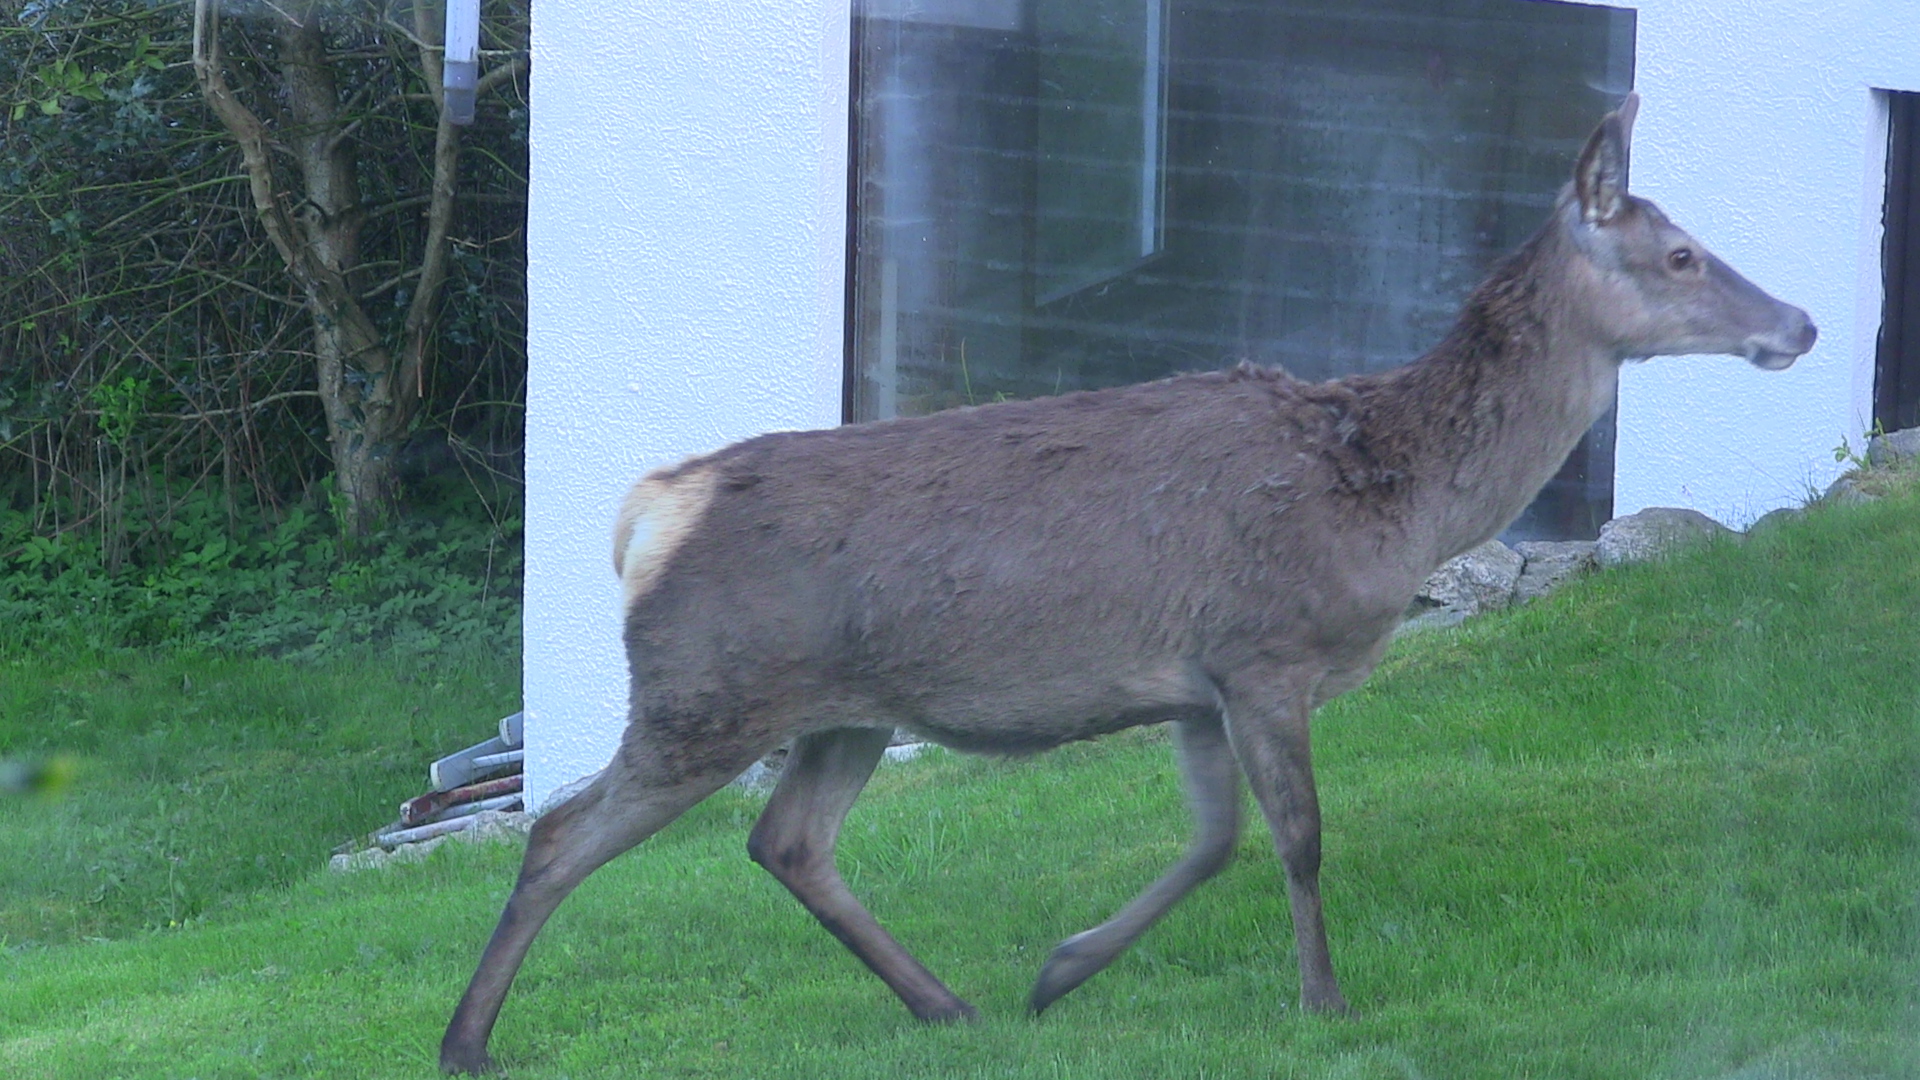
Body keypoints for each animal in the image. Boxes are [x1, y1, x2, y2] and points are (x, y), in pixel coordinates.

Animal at [440, 94, 1815, 1073]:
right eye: (1681, 255)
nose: (1800, 324)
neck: (1396, 500)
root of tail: (650, 510)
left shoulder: (1197, 683)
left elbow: (1213, 842)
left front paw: (1061, 972)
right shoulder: (1264, 649)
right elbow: (1300, 838)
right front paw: (1327, 1004)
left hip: (842, 710)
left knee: (786, 841)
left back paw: (951, 1005)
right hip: (705, 691)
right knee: (561, 832)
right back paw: (467, 1043)